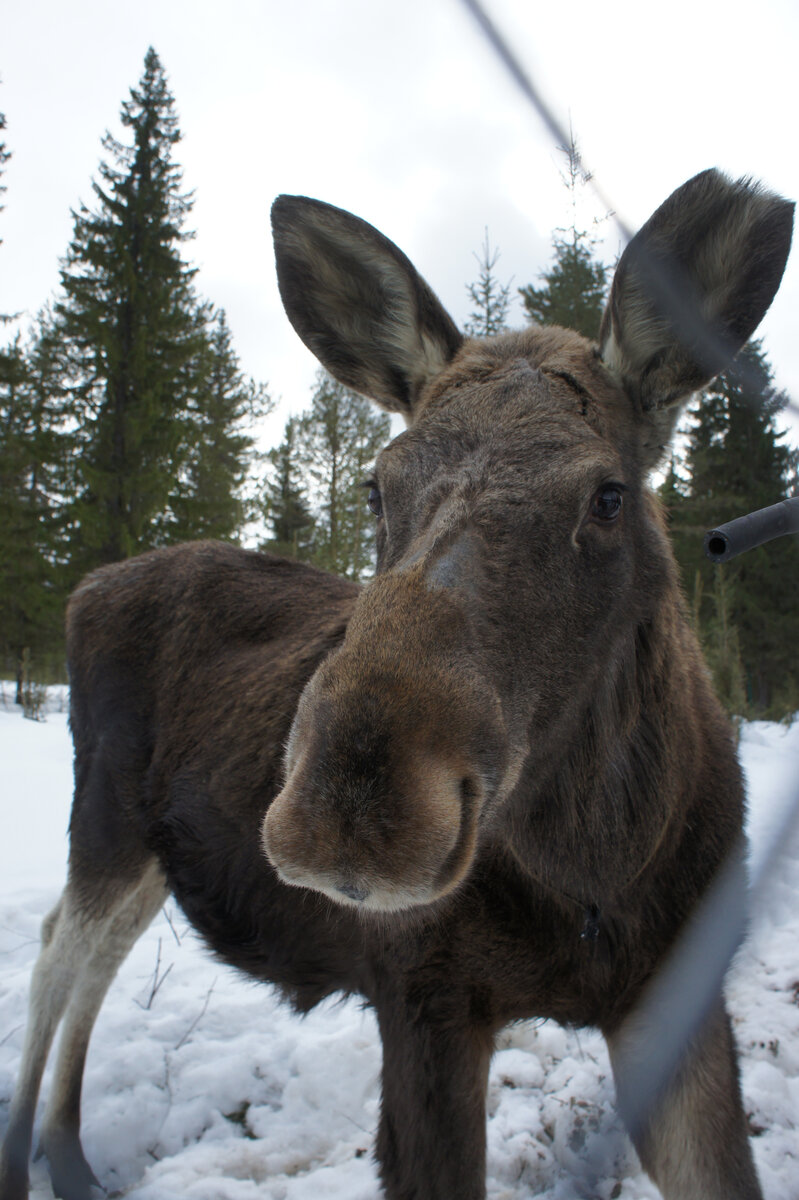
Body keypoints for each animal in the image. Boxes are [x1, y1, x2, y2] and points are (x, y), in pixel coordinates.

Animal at [0, 169, 791, 1200]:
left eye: (608, 496)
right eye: (376, 486)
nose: (348, 809)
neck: (596, 873)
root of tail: (84, 590)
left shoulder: (675, 995)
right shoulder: (420, 997)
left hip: (151, 844)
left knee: (95, 953)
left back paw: (69, 1156)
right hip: (103, 816)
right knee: (60, 951)